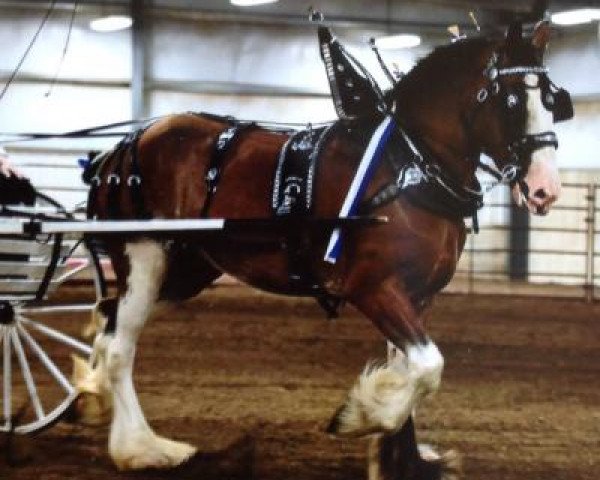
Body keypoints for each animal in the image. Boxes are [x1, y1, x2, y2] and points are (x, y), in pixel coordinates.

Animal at [77, 20, 568, 478]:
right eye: (511, 101)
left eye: (551, 100)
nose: (546, 189)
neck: (410, 165)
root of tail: (122, 147)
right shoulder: (374, 289)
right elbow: (428, 367)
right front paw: (363, 415)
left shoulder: (417, 297)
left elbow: (410, 370)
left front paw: (400, 458)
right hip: (144, 254)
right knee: (120, 347)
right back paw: (141, 447)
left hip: (187, 270)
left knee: (110, 323)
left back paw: (93, 399)